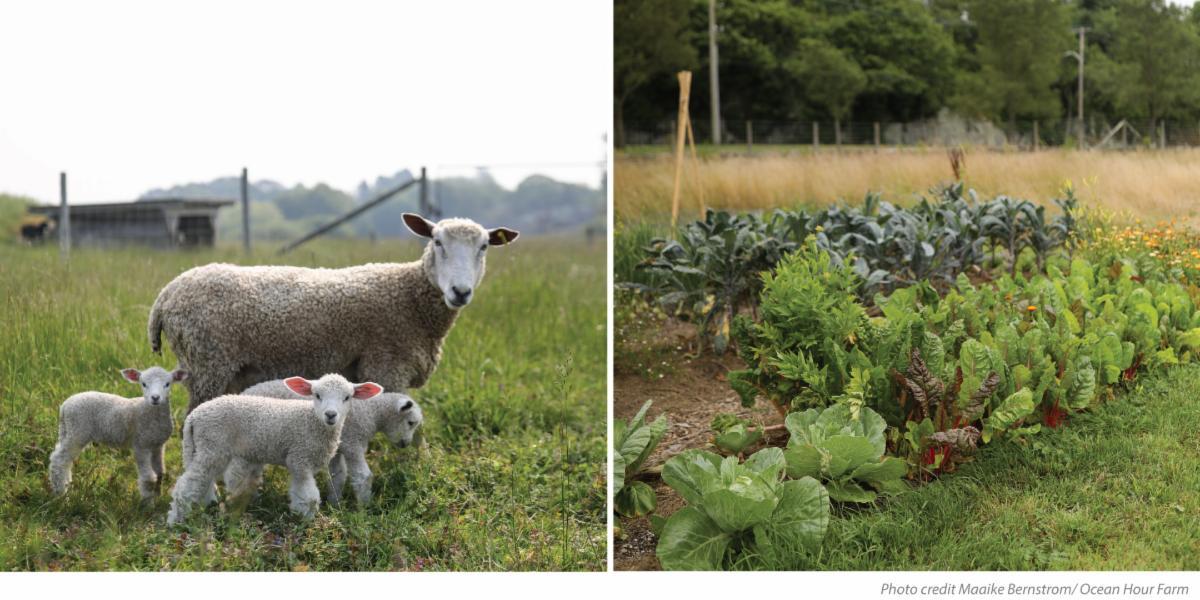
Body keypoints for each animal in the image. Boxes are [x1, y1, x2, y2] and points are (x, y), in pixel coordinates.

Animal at [48, 366, 187, 501]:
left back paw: (66, 486)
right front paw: (147, 504)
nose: (155, 398)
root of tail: (65, 406)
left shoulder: (158, 445)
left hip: (67, 431)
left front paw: (158, 497)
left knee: (64, 460)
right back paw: (61, 494)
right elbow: (148, 478)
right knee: (59, 460)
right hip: (78, 431)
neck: (148, 411)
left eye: (167, 384)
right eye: (143, 384)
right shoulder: (141, 445)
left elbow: (160, 473)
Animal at [147, 213, 519, 416]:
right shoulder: (387, 365)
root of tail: (165, 295)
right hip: (208, 362)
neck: (411, 297)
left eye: (484, 247)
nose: (460, 291)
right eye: (437, 242)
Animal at [166, 373, 381, 524]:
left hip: (205, 449)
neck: (312, 421)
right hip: (212, 446)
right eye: (317, 395)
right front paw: (309, 523)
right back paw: (175, 521)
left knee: (203, 480)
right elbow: (310, 497)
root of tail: (193, 417)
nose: (330, 415)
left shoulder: (298, 461)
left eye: (347, 397)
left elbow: (298, 492)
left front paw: (298, 515)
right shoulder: (300, 456)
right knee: (187, 485)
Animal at [224, 378, 423, 507]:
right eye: (411, 422)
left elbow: (338, 476)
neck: (372, 411)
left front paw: (335, 504)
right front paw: (365, 508)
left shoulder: (337, 448)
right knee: (236, 473)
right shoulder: (353, 444)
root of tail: (242, 393)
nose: (405, 443)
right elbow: (363, 476)